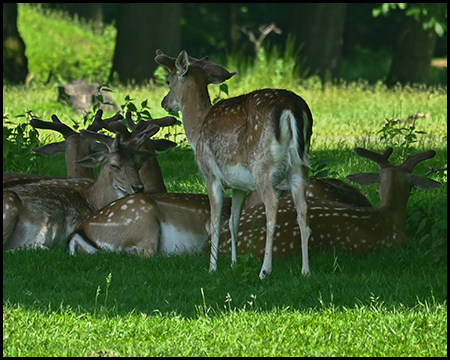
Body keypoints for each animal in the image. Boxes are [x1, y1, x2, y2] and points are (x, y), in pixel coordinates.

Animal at [155, 50, 312, 278]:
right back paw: (305, 270)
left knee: (272, 204)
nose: (164, 102)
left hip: (261, 165)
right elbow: (233, 222)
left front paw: (212, 268)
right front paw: (233, 264)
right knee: (303, 208)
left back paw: (265, 270)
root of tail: (292, 108)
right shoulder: (239, 185)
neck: (197, 129)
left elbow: (216, 221)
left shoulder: (211, 175)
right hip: (300, 166)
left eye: (168, 81)